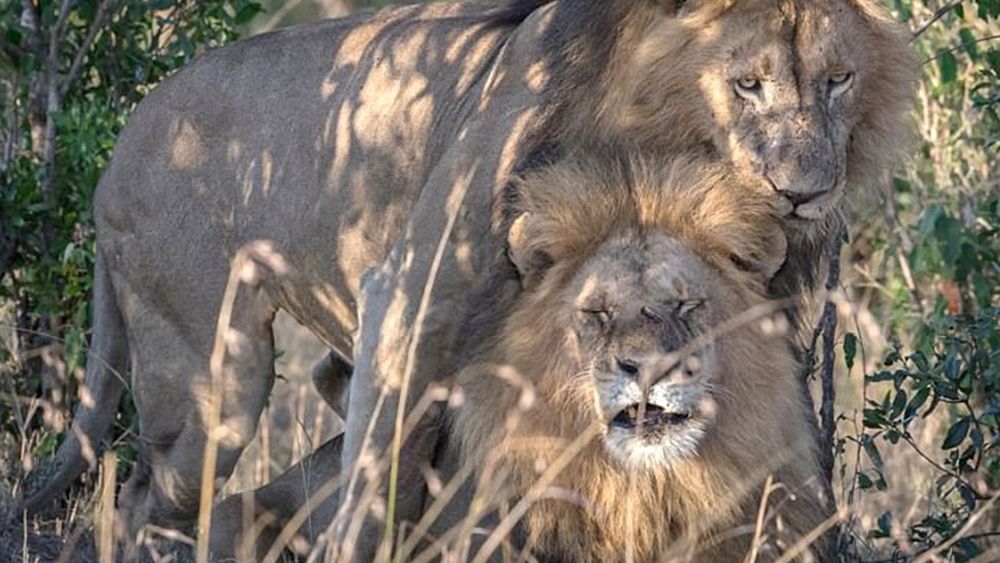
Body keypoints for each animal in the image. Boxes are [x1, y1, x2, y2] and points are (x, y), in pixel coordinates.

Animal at [20, 0, 912, 558]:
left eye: (837, 79)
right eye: (746, 83)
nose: (803, 192)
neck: (653, 139)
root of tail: (116, 149)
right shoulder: (408, 294)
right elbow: (374, 492)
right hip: (215, 377)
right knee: (147, 501)